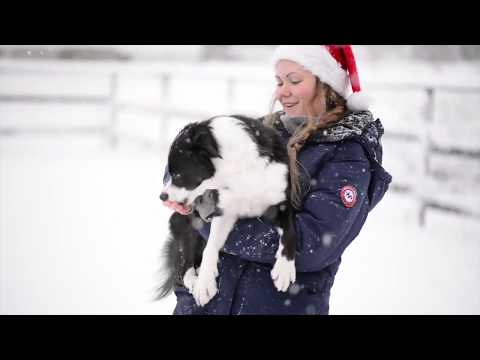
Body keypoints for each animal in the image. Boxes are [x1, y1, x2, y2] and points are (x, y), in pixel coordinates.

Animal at [158, 115, 296, 306]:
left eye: (177, 174)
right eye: (169, 173)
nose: (162, 196)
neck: (240, 170)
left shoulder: (281, 202)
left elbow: (290, 232)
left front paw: (284, 269)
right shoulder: (224, 210)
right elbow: (210, 246)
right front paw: (204, 283)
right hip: (185, 221)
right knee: (185, 257)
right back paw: (193, 279)